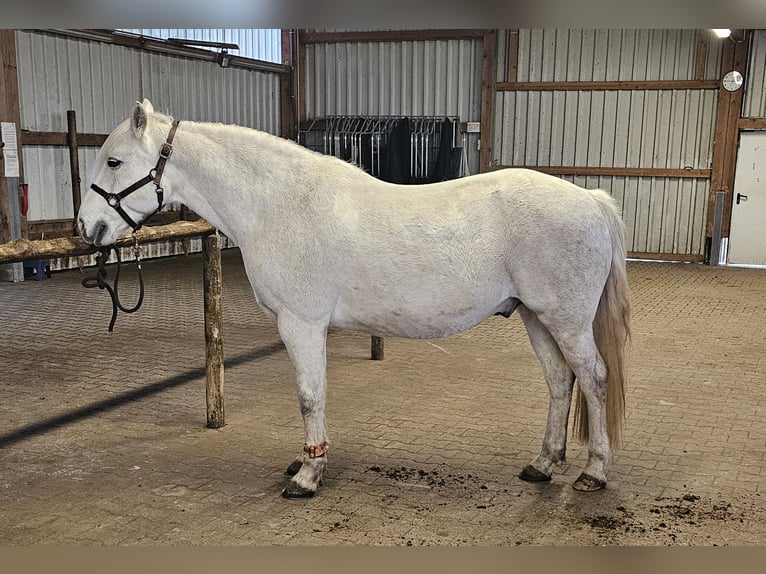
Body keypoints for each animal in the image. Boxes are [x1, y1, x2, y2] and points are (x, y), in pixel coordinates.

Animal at [77, 99, 630, 498]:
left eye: (114, 160)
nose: (87, 227)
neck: (277, 202)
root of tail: (592, 200)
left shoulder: (300, 324)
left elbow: (309, 395)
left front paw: (308, 476)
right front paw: (305, 462)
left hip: (566, 321)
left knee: (594, 379)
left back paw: (594, 473)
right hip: (537, 317)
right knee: (560, 381)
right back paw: (543, 464)